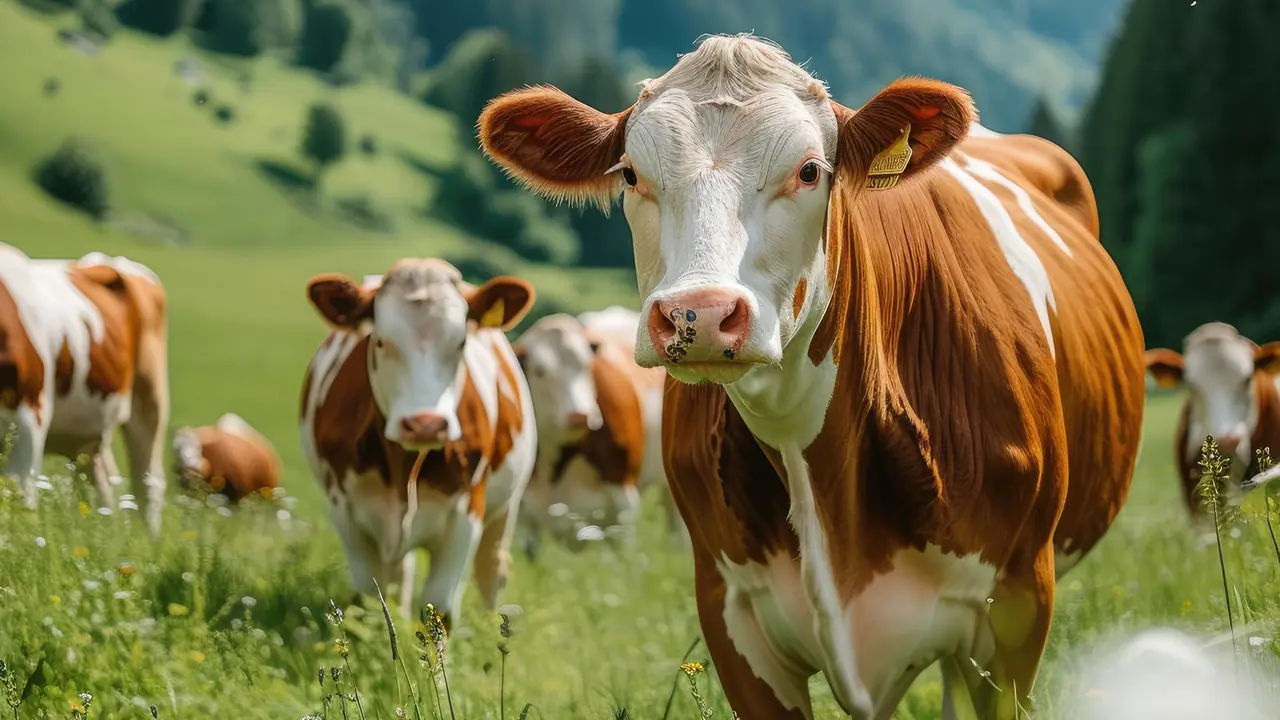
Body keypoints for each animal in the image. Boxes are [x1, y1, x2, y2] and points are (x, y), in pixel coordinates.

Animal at [0, 243, 169, 537]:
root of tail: (108, 260)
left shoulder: (29, 419)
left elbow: (20, 501)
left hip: (150, 400)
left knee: (148, 482)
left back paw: (148, 541)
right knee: (106, 486)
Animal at [299, 258, 537, 625]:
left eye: (461, 342)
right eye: (380, 341)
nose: (426, 424)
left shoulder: (466, 514)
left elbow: (439, 609)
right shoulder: (344, 510)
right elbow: (366, 599)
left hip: (506, 506)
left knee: (491, 568)